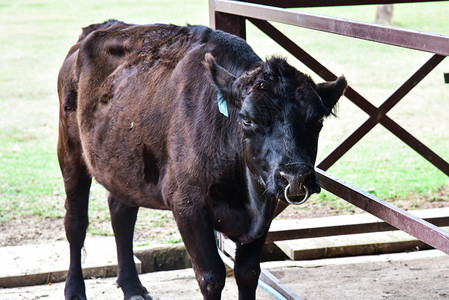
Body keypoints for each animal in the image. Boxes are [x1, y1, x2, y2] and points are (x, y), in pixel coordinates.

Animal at [57, 19, 346, 298]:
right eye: (247, 119)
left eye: (317, 121)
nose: (295, 176)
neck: (245, 198)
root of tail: (96, 29)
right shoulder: (187, 205)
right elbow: (211, 276)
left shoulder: (265, 209)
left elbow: (249, 272)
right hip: (69, 150)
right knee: (76, 222)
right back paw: (74, 291)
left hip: (124, 165)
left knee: (122, 215)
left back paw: (132, 288)